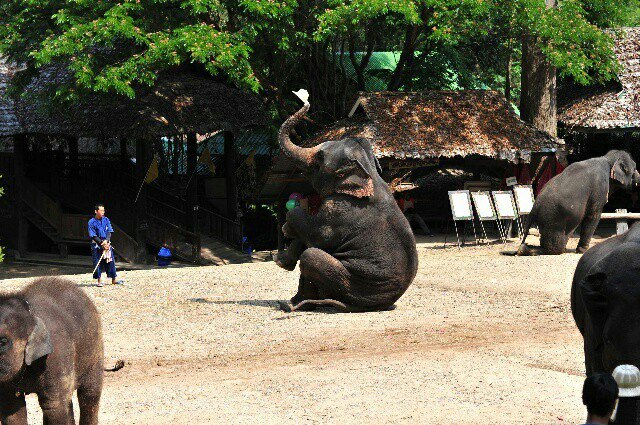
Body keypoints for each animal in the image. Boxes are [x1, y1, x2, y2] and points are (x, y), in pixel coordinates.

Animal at [0, 276, 104, 422]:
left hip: (95, 352)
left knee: (89, 396)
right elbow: (12, 411)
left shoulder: (55, 357)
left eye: (3, 341)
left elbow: (54, 408)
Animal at [276, 90, 420, 312]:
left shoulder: (340, 209)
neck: (369, 174)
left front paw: (287, 229)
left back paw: (292, 305)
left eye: (319, 158)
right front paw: (282, 255)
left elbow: (318, 235)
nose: (303, 97)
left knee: (311, 256)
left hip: (353, 284)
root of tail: (377, 305)